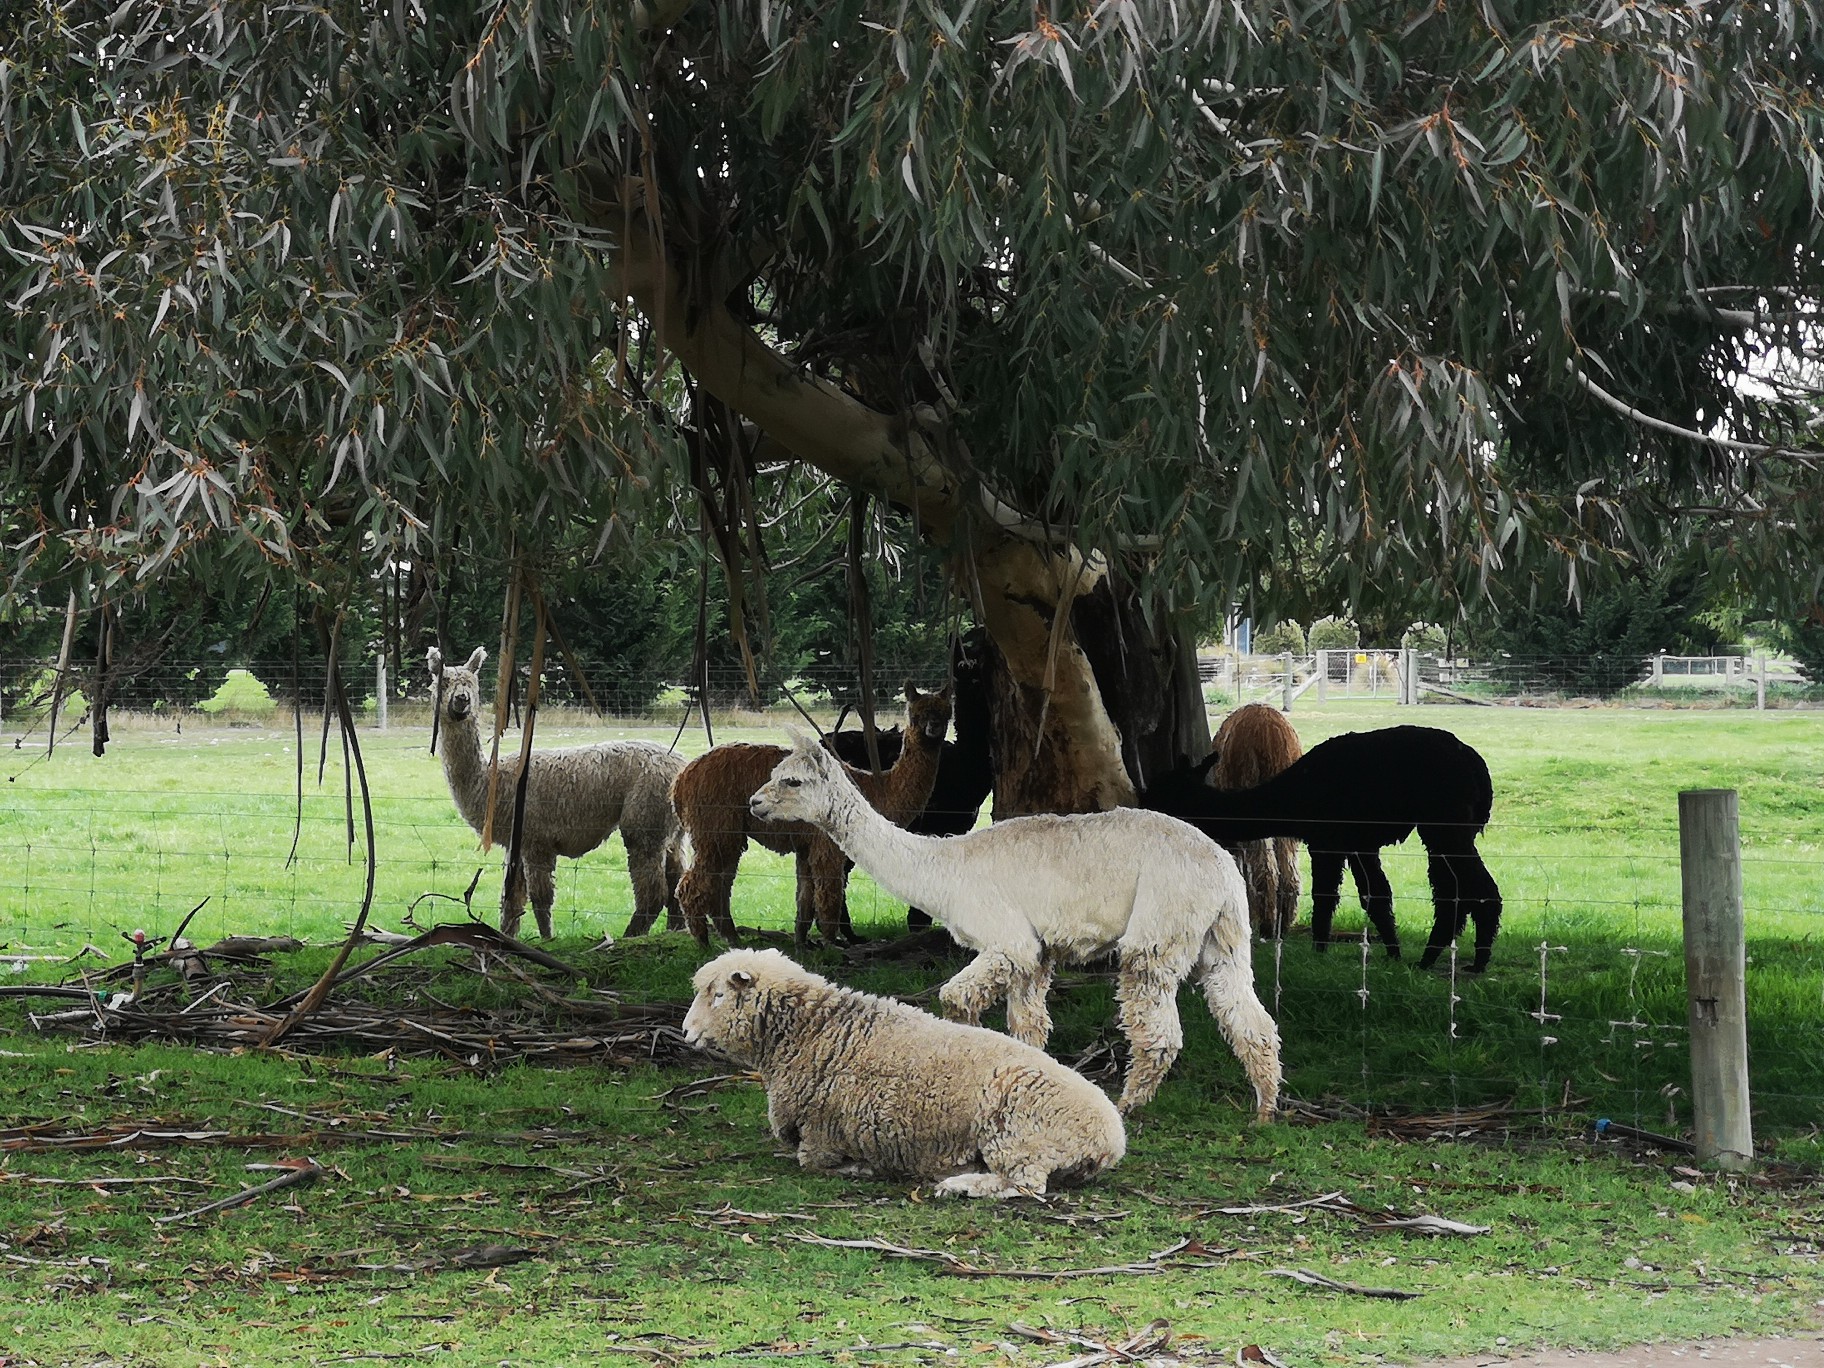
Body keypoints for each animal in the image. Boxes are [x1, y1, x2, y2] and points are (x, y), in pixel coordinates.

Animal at [682, 955, 1123, 1196]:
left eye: (717, 995)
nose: (686, 1033)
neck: (813, 1030)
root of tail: (1111, 1140)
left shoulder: (821, 1133)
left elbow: (814, 1163)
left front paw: (860, 1168)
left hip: (1019, 1133)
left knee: (1025, 1184)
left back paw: (959, 1186)